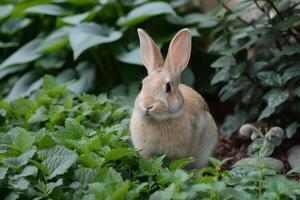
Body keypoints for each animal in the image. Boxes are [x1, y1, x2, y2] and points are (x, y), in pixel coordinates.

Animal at [129, 28, 218, 168]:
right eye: (143, 84)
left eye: (168, 87)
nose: (147, 105)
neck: (158, 120)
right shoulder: (146, 152)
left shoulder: (179, 155)